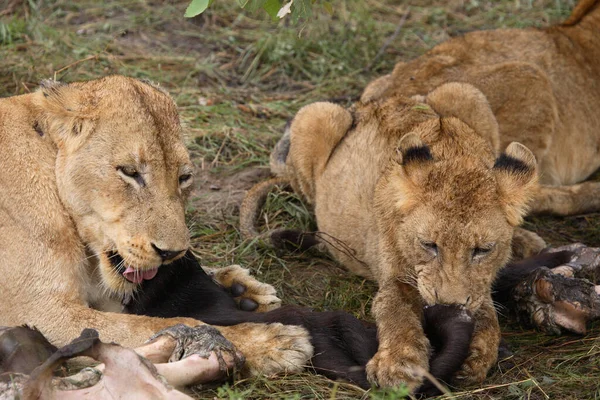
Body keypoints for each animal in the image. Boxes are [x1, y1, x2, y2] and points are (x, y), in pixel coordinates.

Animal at [241, 0, 600, 390]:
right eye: (429, 245)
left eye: (482, 250)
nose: (449, 306)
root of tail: (377, 100)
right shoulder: (394, 273)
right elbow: (395, 308)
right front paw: (399, 363)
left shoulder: (478, 283)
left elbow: (484, 307)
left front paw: (478, 351)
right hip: (316, 115)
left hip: (465, 93)